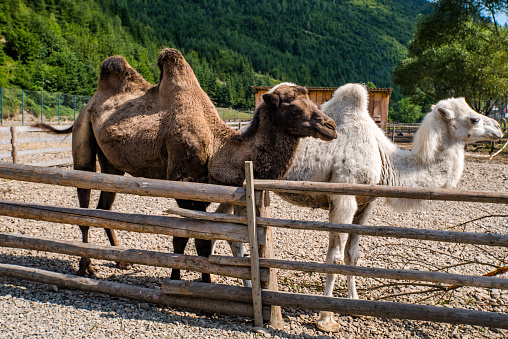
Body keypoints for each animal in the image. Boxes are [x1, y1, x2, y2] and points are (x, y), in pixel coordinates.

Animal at [36, 47, 338, 282]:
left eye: (313, 102)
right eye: (295, 108)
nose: (331, 127)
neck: (218, 148)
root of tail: (88, 104)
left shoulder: (201, 190)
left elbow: (197, 238)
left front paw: (195, 278)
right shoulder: (183, 181)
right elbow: (189, 238)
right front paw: (187, 280)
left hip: (112, 164)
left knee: (103, 208)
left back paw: (119, 260)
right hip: (83, 138)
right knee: (83, 205)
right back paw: (86, 267)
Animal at [278, 83, 504, 334]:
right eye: (474, 119)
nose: (498, 128)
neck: (384, 159)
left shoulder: (365, 203)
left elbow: (352, 255)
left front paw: (354, 305)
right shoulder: (343, 199)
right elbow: (334, 257)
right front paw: (326, 318)